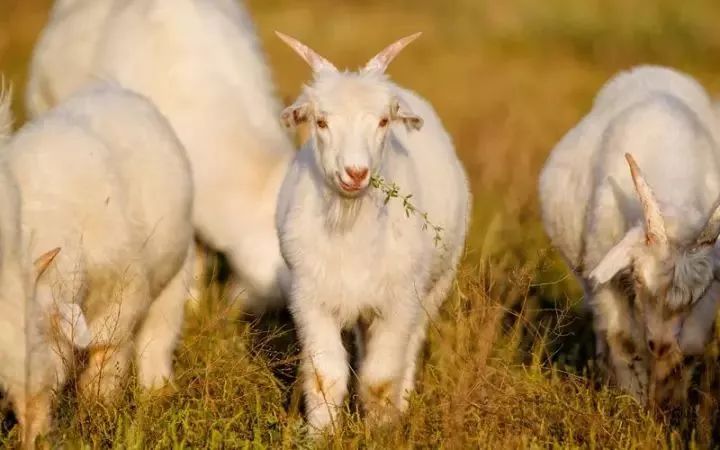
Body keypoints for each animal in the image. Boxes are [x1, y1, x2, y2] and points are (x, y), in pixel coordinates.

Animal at [0, 81, 194, 446]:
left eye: (38, 329)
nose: (33, 437)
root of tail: (115, 90)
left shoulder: (122, 301)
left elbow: (104, 371)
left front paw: (94, 420)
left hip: (175, 279)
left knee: (156, 340)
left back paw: (157, 389)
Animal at [272, 32, 470, 432]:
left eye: (382, 121)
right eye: (320, 122)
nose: (356, 173)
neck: (350, 225)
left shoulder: (400, 301)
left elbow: (380, 379)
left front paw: (380, 431)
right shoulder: (310, 298)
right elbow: (326, 375)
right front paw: (321, 433)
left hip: (435, 287)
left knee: (409, 350)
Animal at [536, 66, 720, 404]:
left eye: (697, 294)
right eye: (637, 279)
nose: (659, 345)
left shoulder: (709, 290)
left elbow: (689, 348)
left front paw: (668, 405)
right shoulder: (604, 275)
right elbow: (624, 340)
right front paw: (632, 402)